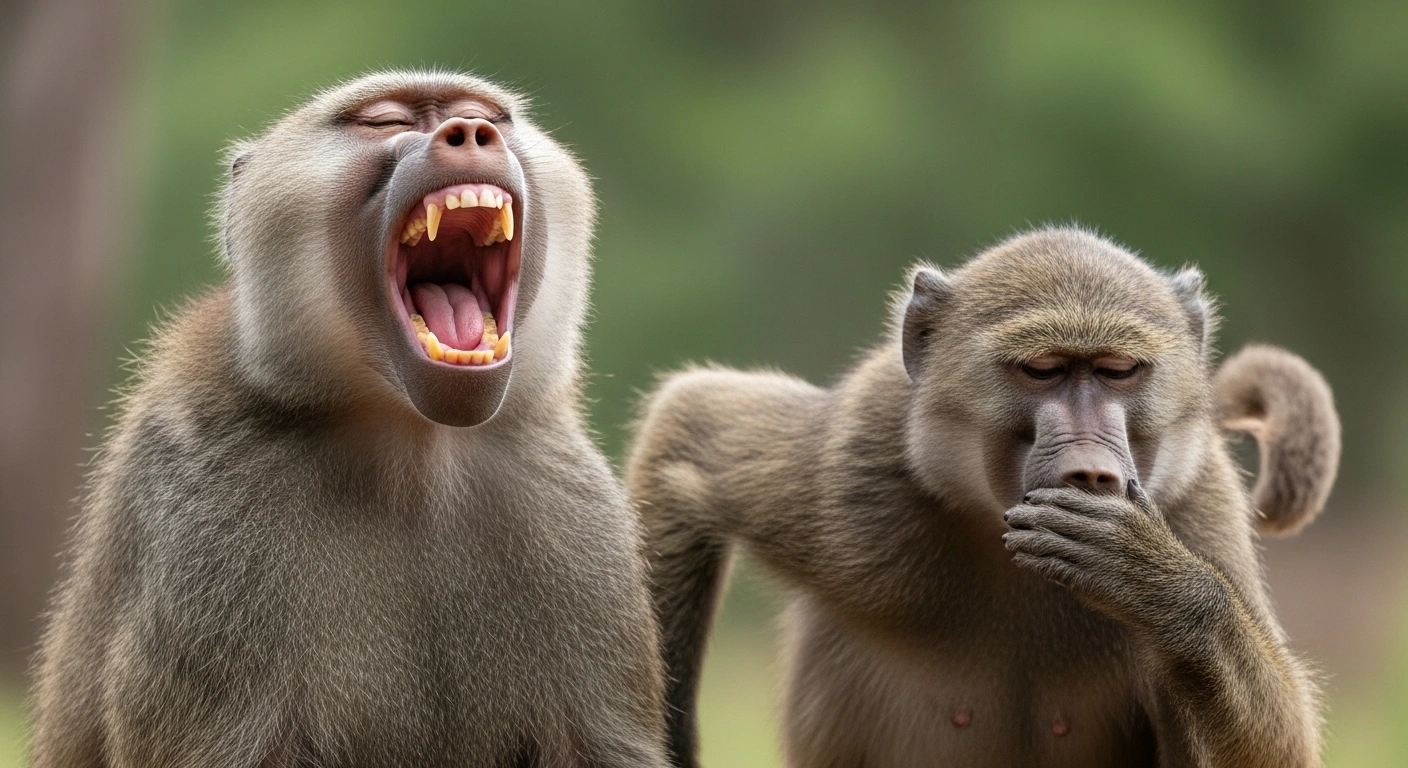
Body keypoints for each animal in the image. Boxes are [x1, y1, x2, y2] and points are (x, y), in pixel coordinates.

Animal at [29, 71, 669, 768]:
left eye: (483, 115)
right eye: (384, 122)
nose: (471, 134)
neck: (414, 448)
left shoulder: (567, 501)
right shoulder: (210, 520)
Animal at [626, 227, 1339, 768]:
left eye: (1117, 371)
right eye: (1042, 370)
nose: (1090, 471)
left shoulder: (1195, 499)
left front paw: (1153, 579)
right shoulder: (852, 479)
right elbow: (687, 435)